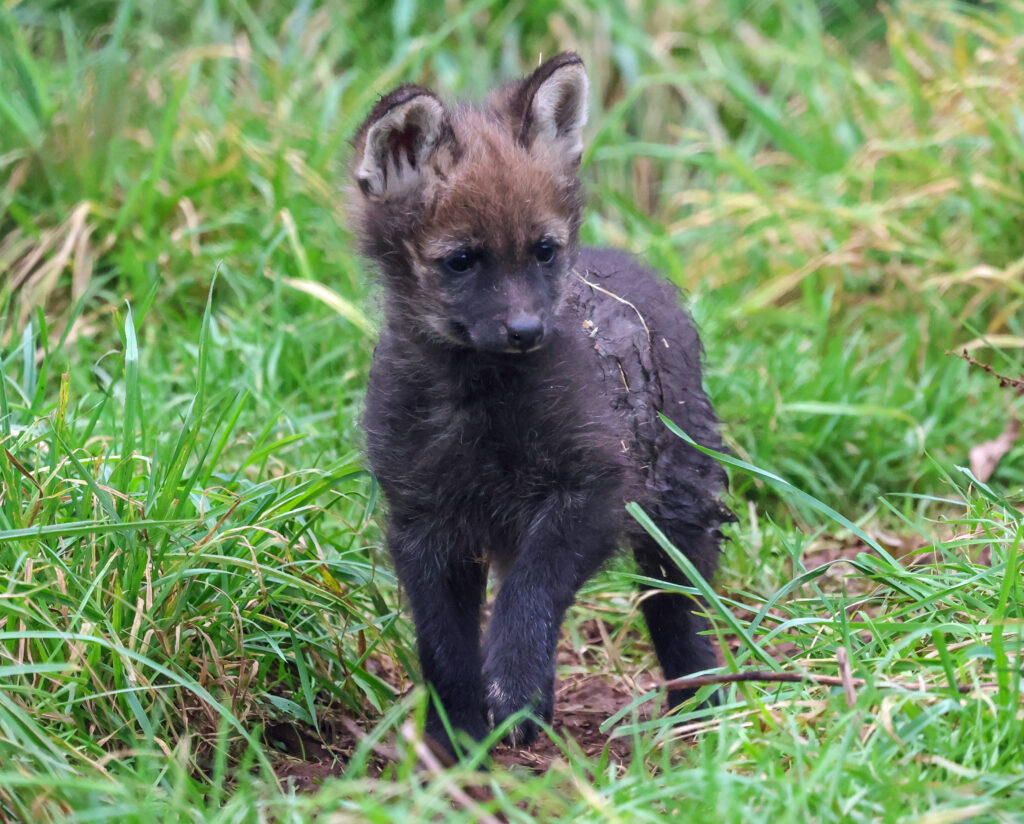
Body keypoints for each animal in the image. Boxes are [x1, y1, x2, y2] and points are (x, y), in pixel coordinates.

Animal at [350, 52, 732, 755]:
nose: (526, 330)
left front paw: (518, 692)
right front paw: (458, 739)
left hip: (677, 506)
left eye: (544, 251)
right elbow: (443, 646)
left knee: (680, 610)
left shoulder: (595, 486)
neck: (475, 402)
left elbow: (529, 597)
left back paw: (703, 709)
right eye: (462, 260)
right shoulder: (421, 520)